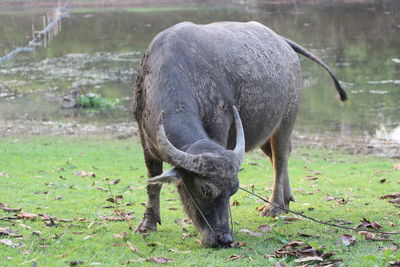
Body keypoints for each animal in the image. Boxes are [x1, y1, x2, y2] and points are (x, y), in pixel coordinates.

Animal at [133, 21, 346, 249]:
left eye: (233, 191)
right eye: (206, 190)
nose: (224, 239)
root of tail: (283, 42)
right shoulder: (145, 141)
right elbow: (152, 183)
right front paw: (147, 224)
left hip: (287, 119)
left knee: (281, 158)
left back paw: (274, 206)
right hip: (264, 131)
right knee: (276, 157)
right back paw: (286, 199)